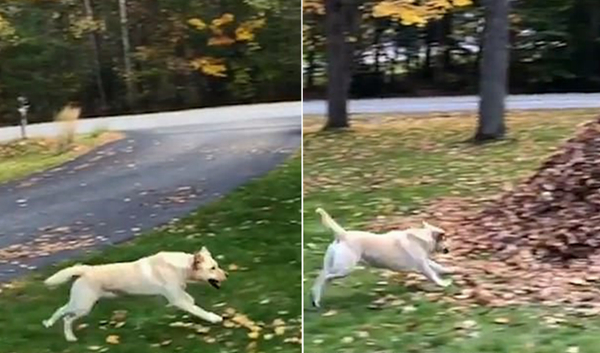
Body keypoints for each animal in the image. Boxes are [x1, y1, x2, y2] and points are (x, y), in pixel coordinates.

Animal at [41, 246, 226, 340]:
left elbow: (193, 302)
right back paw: (64, 334)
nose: (227, 275)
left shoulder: (180, 295)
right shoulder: (178, 299)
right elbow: (198, 309)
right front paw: (214, 318)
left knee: (63, 312)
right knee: (65, 315)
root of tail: (85, 270)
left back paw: (55, 327)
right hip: (83, 306)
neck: (180, 267)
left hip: (81, 303)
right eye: (212, 268)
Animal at [312, 208, 452, 306]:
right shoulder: (422, 265)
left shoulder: (424, 260)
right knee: (326, 278)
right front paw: (444, 283)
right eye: (444, 239)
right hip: (345, 269)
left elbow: (437, 266)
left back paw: (316, 301)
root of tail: (343, 235)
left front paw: (450, 270)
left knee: (320, 279)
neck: (422, 238)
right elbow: (433, 275)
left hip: (333, 265)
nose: (447, 250)